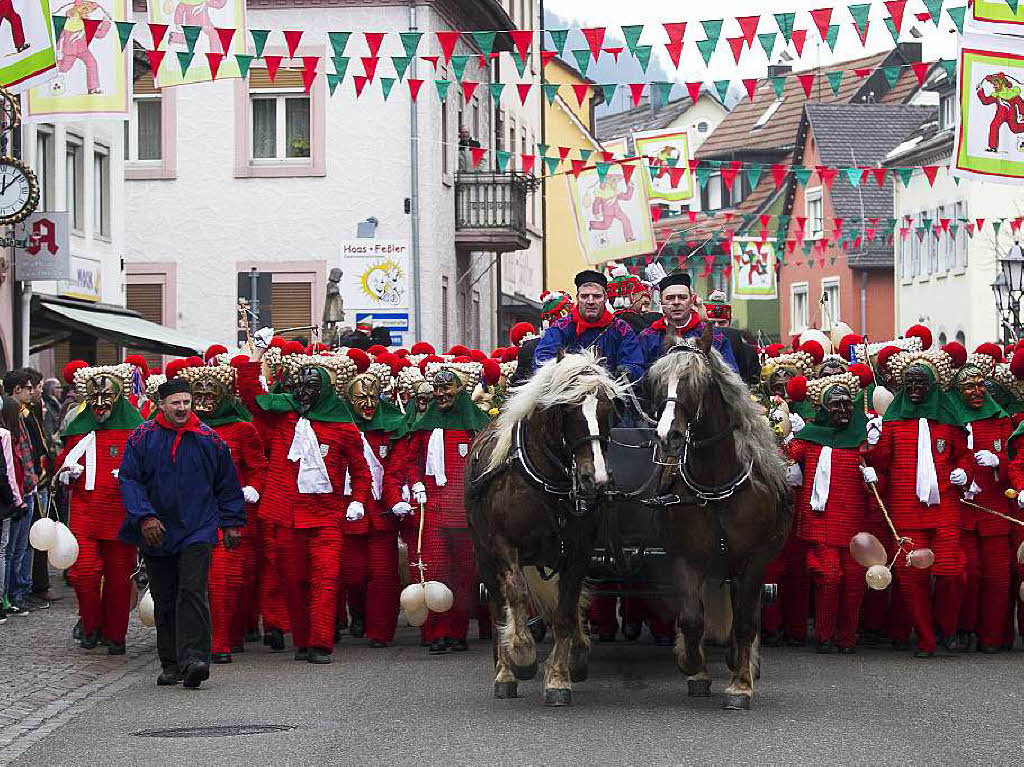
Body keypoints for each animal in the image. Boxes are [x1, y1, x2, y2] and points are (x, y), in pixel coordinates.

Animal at [464, 350, 622, 708]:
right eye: (568, 409)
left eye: (607, 409)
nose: (596, 480)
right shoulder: (503, 545)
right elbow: (517, 594)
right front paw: (521, 654)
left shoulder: (578, 552)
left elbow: (566, 610)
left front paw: (560, 676)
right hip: (483, 555)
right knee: (498, 605)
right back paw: (504, 671)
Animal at [647, 325, 790, 708]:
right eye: (657, 381)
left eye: (697, 381)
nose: (668, 435)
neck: (715, 486)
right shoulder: (686, 558)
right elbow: (692, 619)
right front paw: (692, 666)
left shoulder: (755, 560)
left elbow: (743, 622)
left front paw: (740, 684)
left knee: (746, 612)